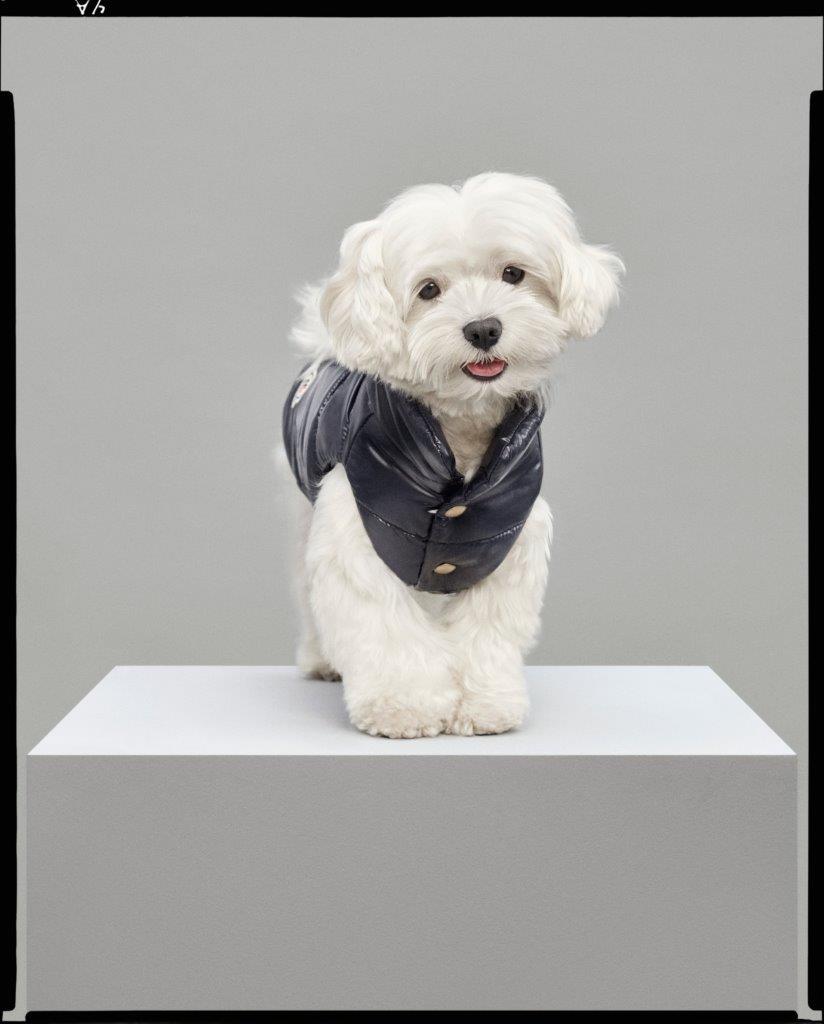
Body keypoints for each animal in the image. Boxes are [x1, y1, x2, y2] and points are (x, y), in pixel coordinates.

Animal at [282, 172, 623, 738]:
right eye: (429, 290)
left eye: (513, 274)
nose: (483, 328)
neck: (458, 432)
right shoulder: (358, 534)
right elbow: (384, 625)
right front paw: (404, 704)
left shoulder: (504, 544)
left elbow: (486, 633)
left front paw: (483, 704)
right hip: (307, 518)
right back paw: (323, 659)